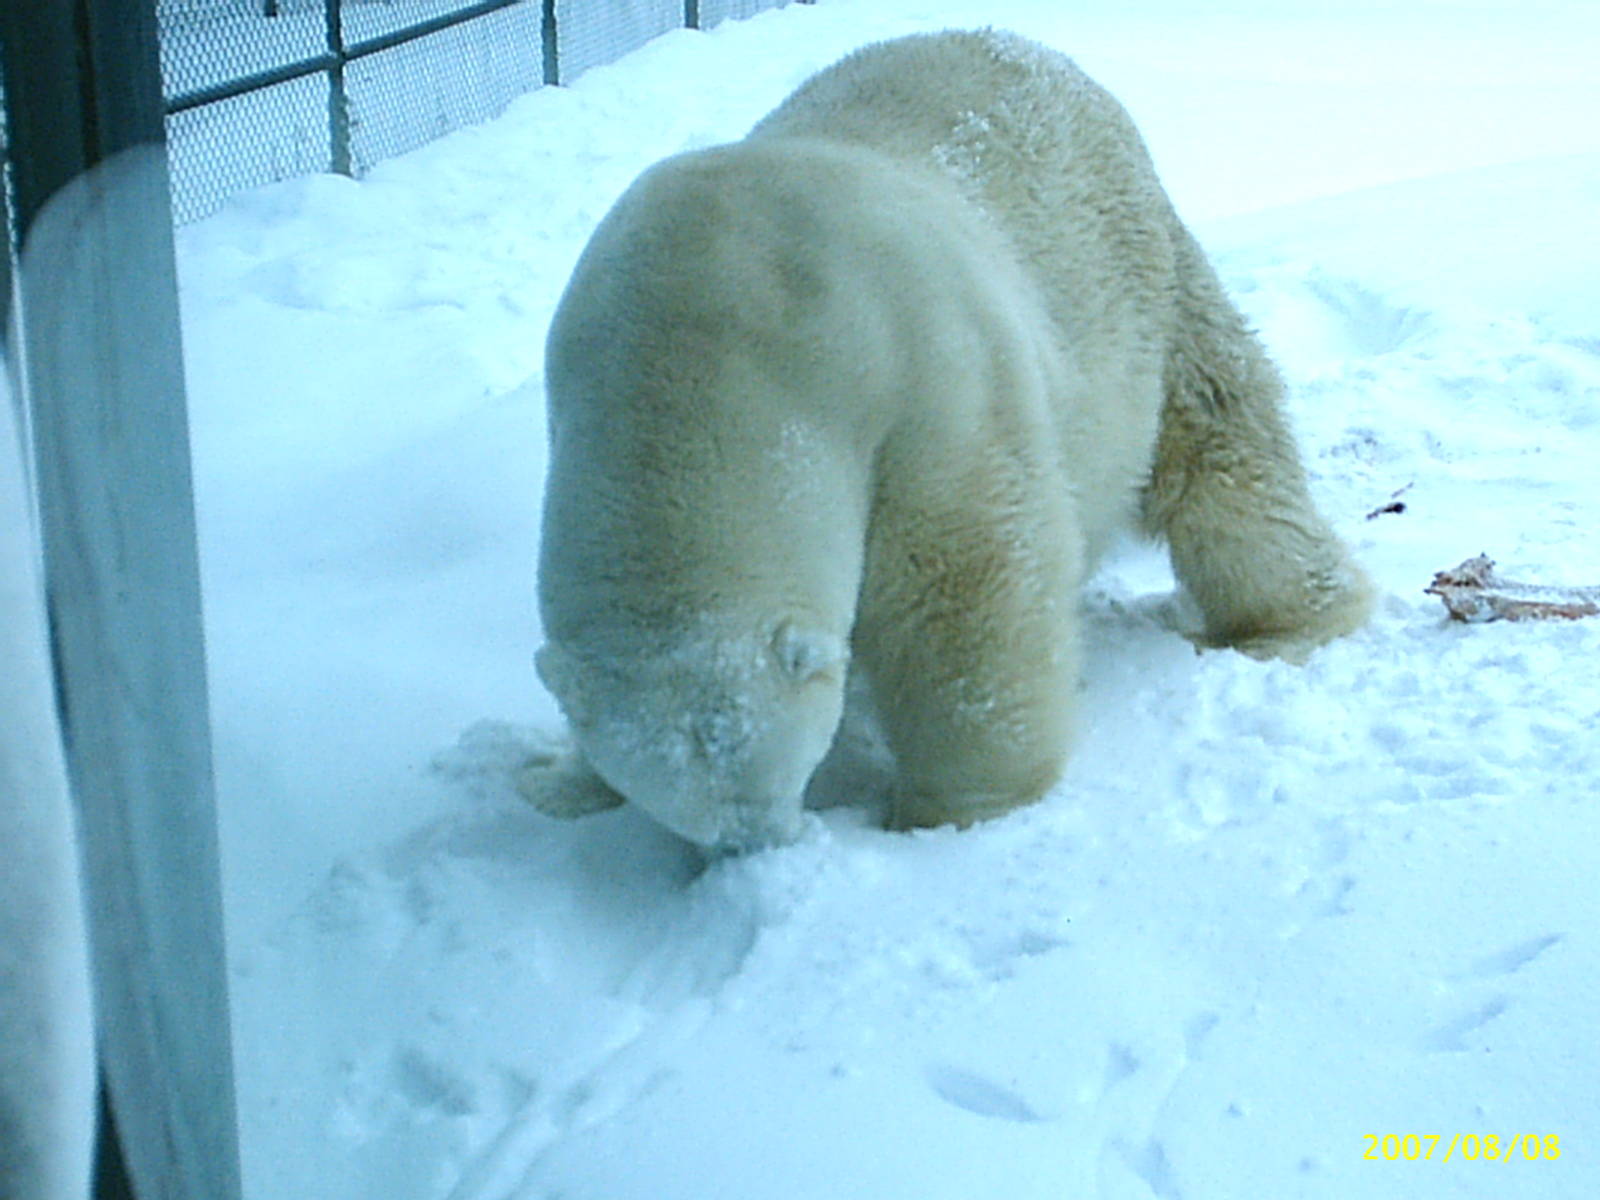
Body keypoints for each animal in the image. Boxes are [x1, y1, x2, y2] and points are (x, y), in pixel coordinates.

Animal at [522, 28, 1371, 851]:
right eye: (691, 810)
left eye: (783, 776)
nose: (756, 848)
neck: (699, 338)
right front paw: (561, 783)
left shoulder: (918, 375)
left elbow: (962, 588)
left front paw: (947, 815)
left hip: (1140, 279)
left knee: (1219, 449)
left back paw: (1286, 624)